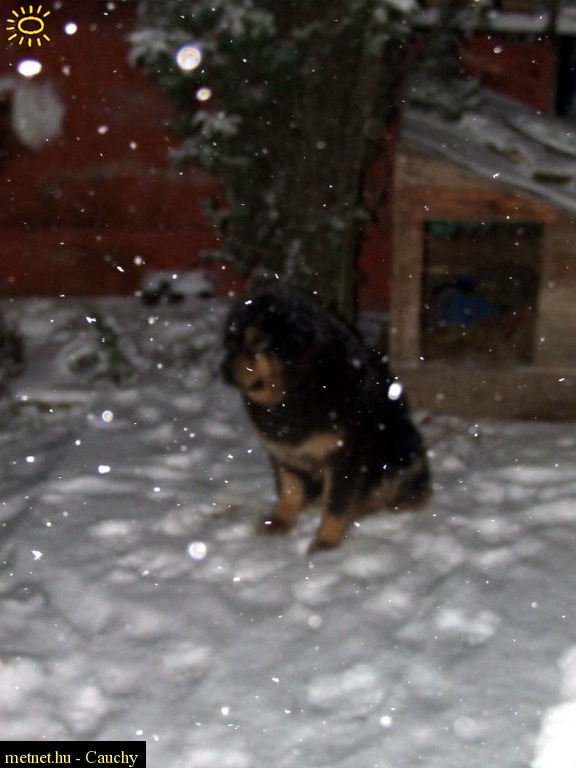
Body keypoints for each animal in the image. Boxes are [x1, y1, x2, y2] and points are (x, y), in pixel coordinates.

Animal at [221, 288, 431, 552]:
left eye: (258, 341)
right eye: (230, 343)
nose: (223, 370)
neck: (300, 385)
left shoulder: (346, 455)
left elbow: (336, 504)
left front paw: (325, 543)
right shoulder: (282, 448)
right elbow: (289, 488)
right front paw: (281, 521)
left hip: (402, 450)